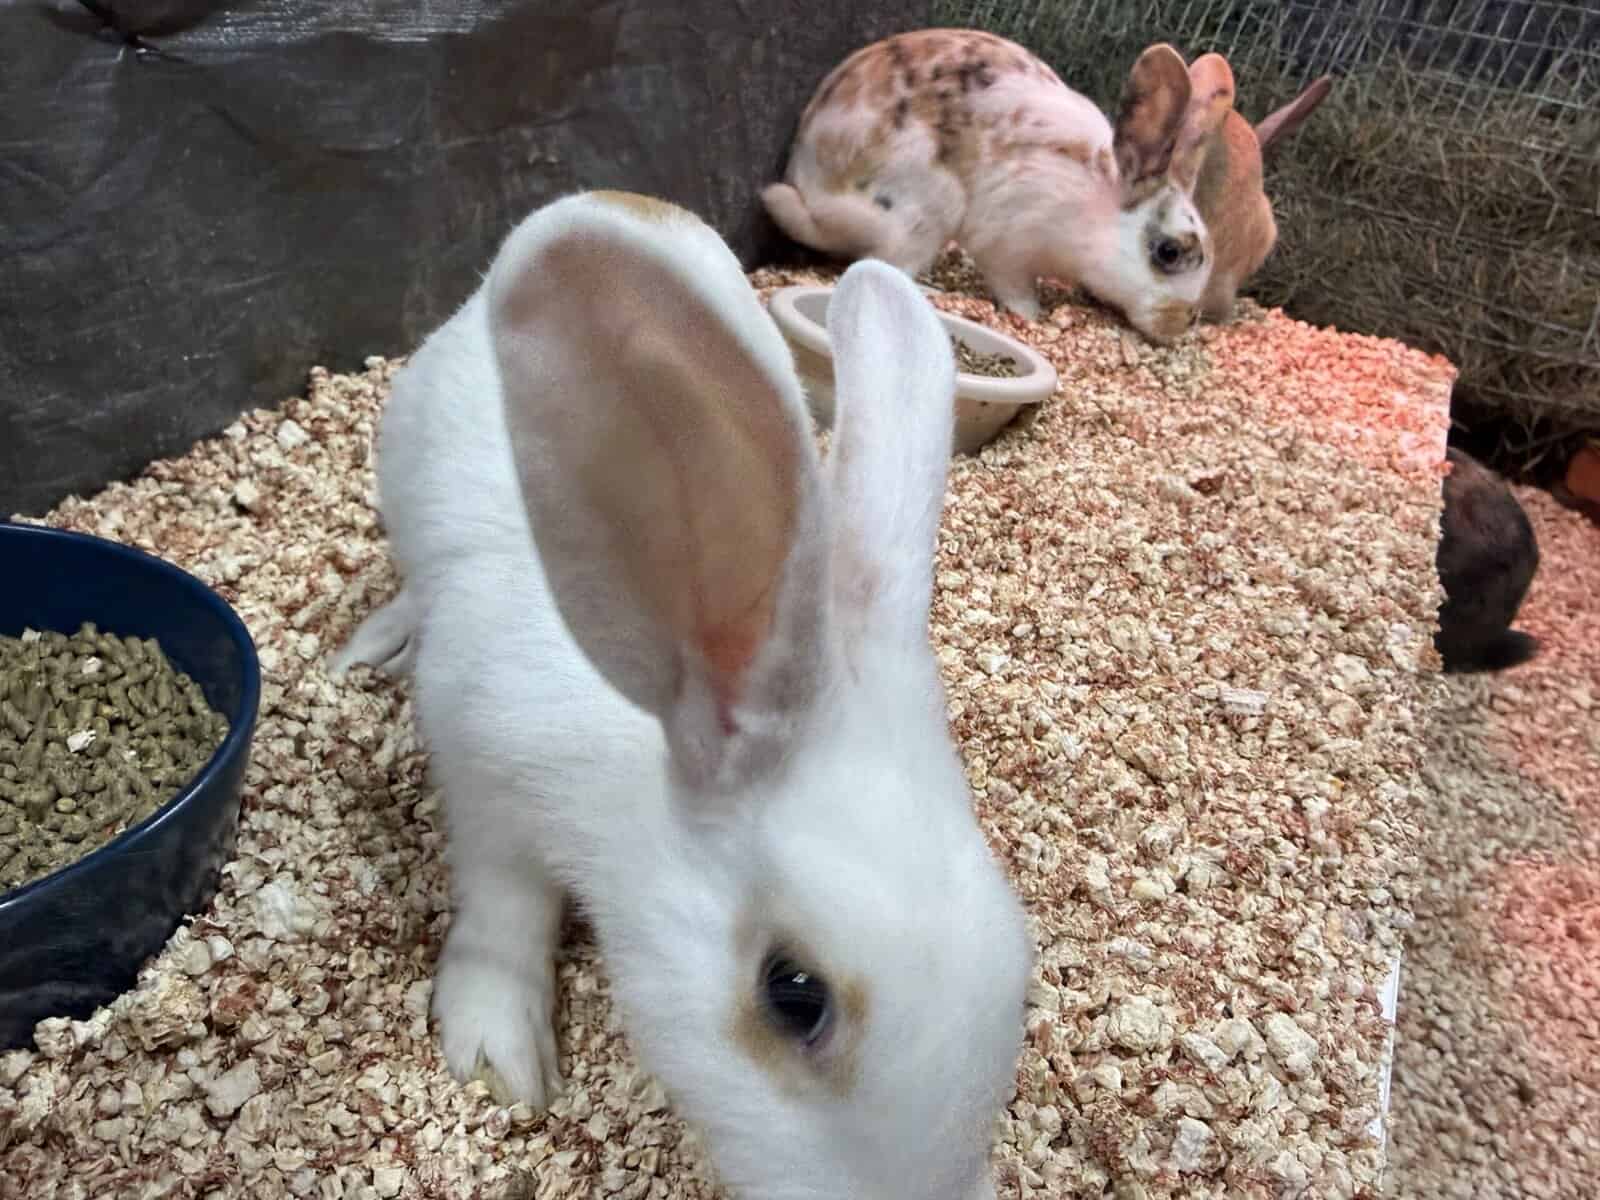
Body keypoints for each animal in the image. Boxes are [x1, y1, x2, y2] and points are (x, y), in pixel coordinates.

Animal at [328, 189, 1035, 1200]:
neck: (666, 707)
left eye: (1022, 971)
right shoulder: (480, 770)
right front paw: (500, 1056)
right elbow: (503, 911)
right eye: (793, 993)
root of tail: (616, 197)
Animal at [760, 29, 1236, 343]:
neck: (1091, 205)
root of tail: (809, 190)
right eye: (1168, 252)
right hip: (928, 211)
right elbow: (1013, 286)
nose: (1182, 323)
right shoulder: (1010, 245)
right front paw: (1033, 314)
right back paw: (933, 291)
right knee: (887, 263)